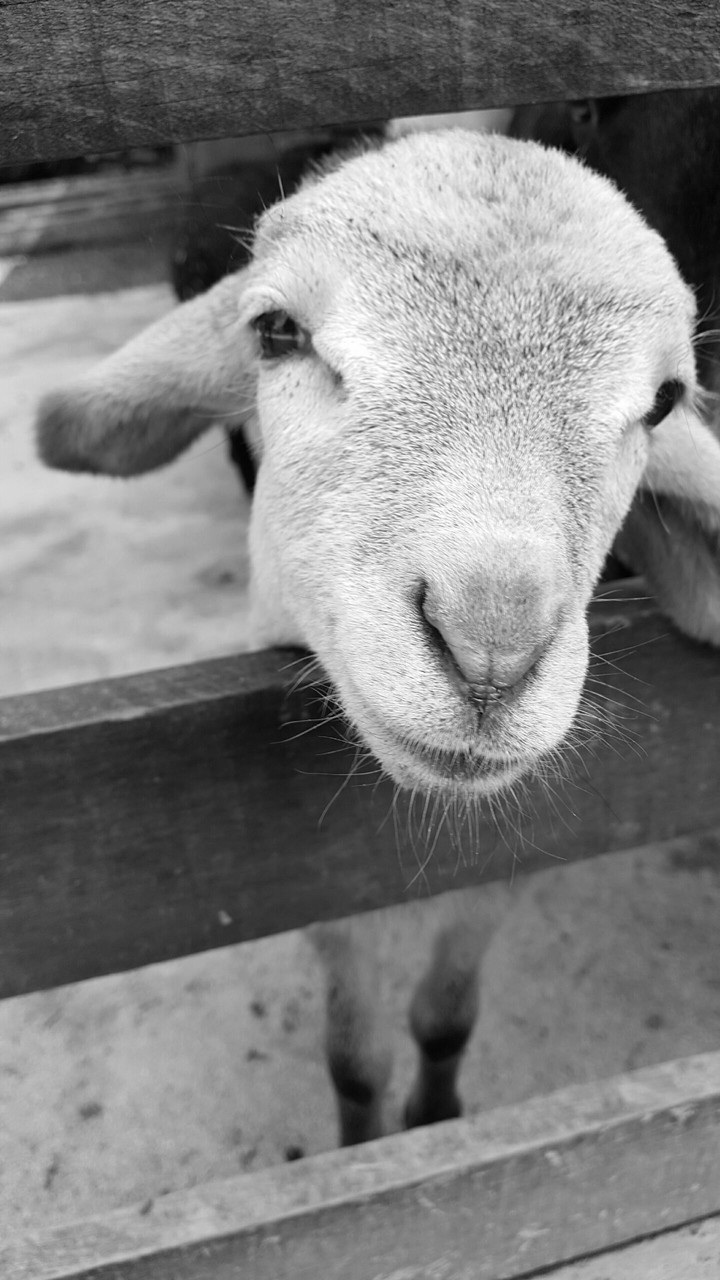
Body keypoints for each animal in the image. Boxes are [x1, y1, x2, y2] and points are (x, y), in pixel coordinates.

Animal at [34, 128, 720, 1144]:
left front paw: (436, 1116)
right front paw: (361, 1146)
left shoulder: (501, 871)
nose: (491, 649)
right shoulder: (320, 894)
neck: (400, 848)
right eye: (276, 330)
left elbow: (445, 1020)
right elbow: (355, 1062)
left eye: (667, 399)